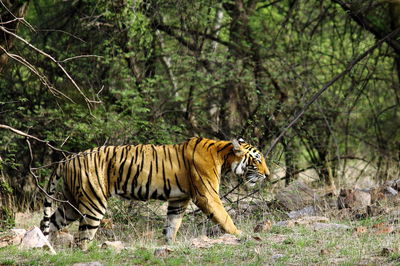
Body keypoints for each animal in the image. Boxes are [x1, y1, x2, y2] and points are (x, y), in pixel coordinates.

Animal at [39, 137, 268, 249]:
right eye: (257, 160)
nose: (267, 174)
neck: (223, 156)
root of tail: (68, 159)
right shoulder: (207, 195)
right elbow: (225, 217)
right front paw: (241, 235)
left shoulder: (178, 199)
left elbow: (172, 225)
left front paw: (169, 244)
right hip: (93, 202)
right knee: (82, 239)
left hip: (72, 204)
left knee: (48, 222)